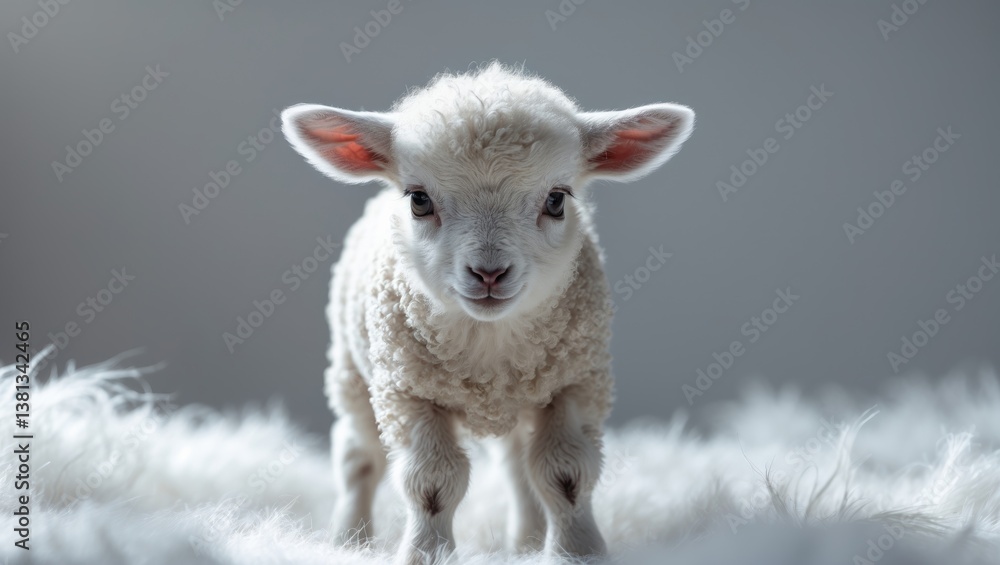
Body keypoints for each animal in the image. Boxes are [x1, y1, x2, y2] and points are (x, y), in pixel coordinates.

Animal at [281, 62, 694, 564]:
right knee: (359, 458)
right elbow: (432, 482)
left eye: (557, 199)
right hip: (353, 374)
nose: (489, 273)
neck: (489, 347)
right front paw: (427, 554)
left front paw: (578, 552)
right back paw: (350, 540)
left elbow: (565, 474)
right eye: (419, 200)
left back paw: (527, 543)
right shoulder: (408, 392)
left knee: (518, 465)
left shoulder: (576, 383)